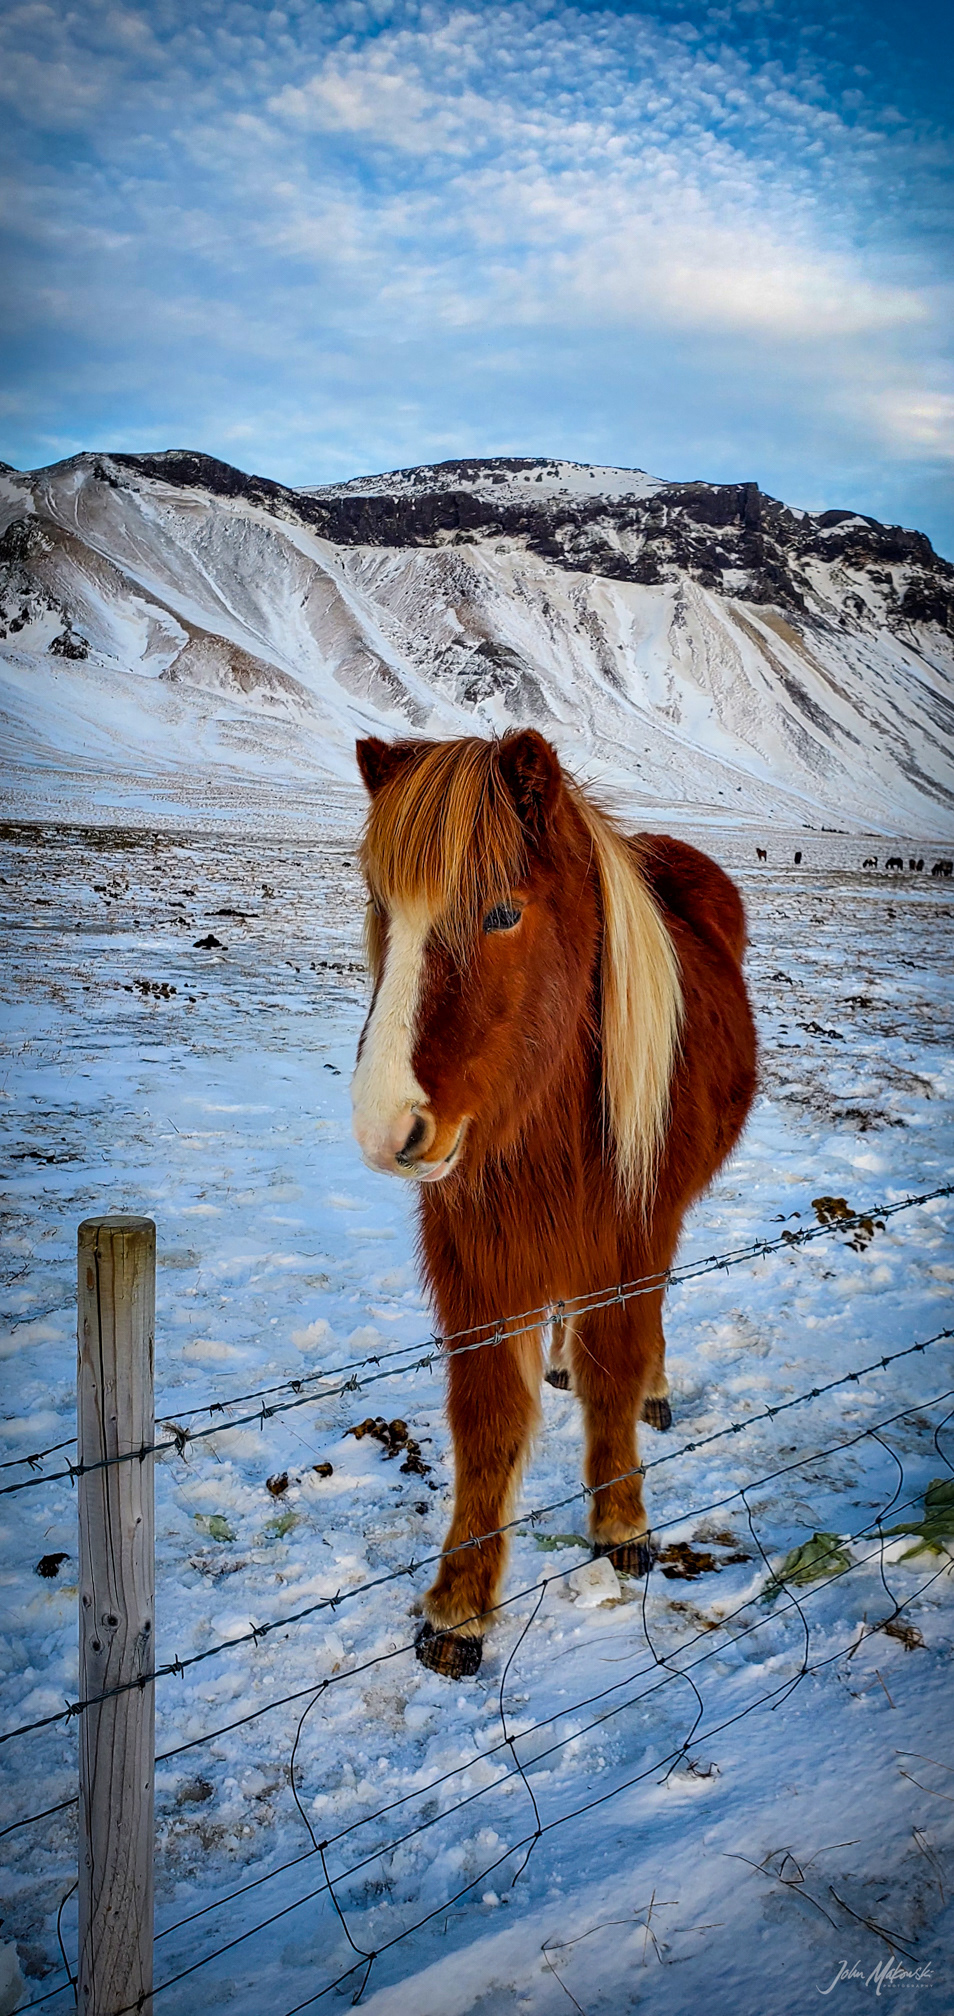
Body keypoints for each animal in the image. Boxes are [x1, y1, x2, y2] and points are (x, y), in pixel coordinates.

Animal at [351, 730, 757, 1678]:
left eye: (503, 914)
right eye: (382, 907)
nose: (385, 1127)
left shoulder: (634, 1232)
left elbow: (618, 1367)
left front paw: (621, 1524)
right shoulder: (475, 1253)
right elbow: (487, 1418)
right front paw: (459, 1605)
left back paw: (653, 1389)